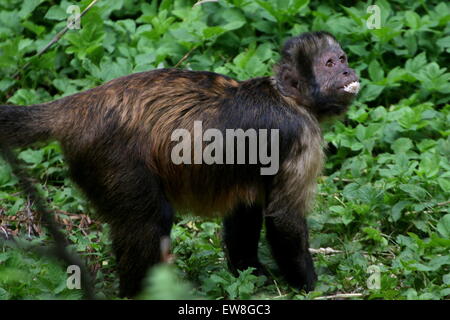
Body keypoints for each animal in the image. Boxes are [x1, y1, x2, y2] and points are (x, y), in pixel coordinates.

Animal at [0, 31, 358, 296]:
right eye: (328, 64)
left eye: (342, 59)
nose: (347, 71)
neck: (287, 97)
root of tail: (82, 104)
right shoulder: (302, 134)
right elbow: (284, 218)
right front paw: (310, 285)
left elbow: (245, 208)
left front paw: (251, 274)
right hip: (110, 155)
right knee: (150, 221)